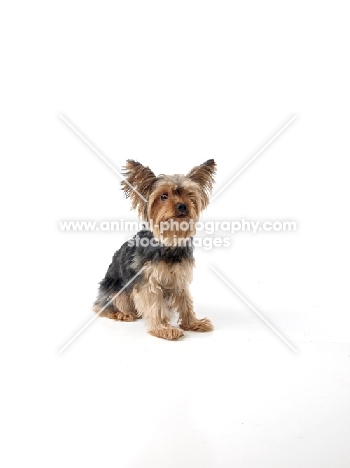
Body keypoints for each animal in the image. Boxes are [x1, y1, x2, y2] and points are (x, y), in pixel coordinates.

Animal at [93, 158, 216, 340]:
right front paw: (164, 328)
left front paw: (193, 323)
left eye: (189, 194)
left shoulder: (180, 278)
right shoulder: (147, 280)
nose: (182, 206)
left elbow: (185, 301)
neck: (169, 242)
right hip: (114, 289)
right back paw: (121, 313)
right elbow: (155, 305)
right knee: (104, 306)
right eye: (163, 196)